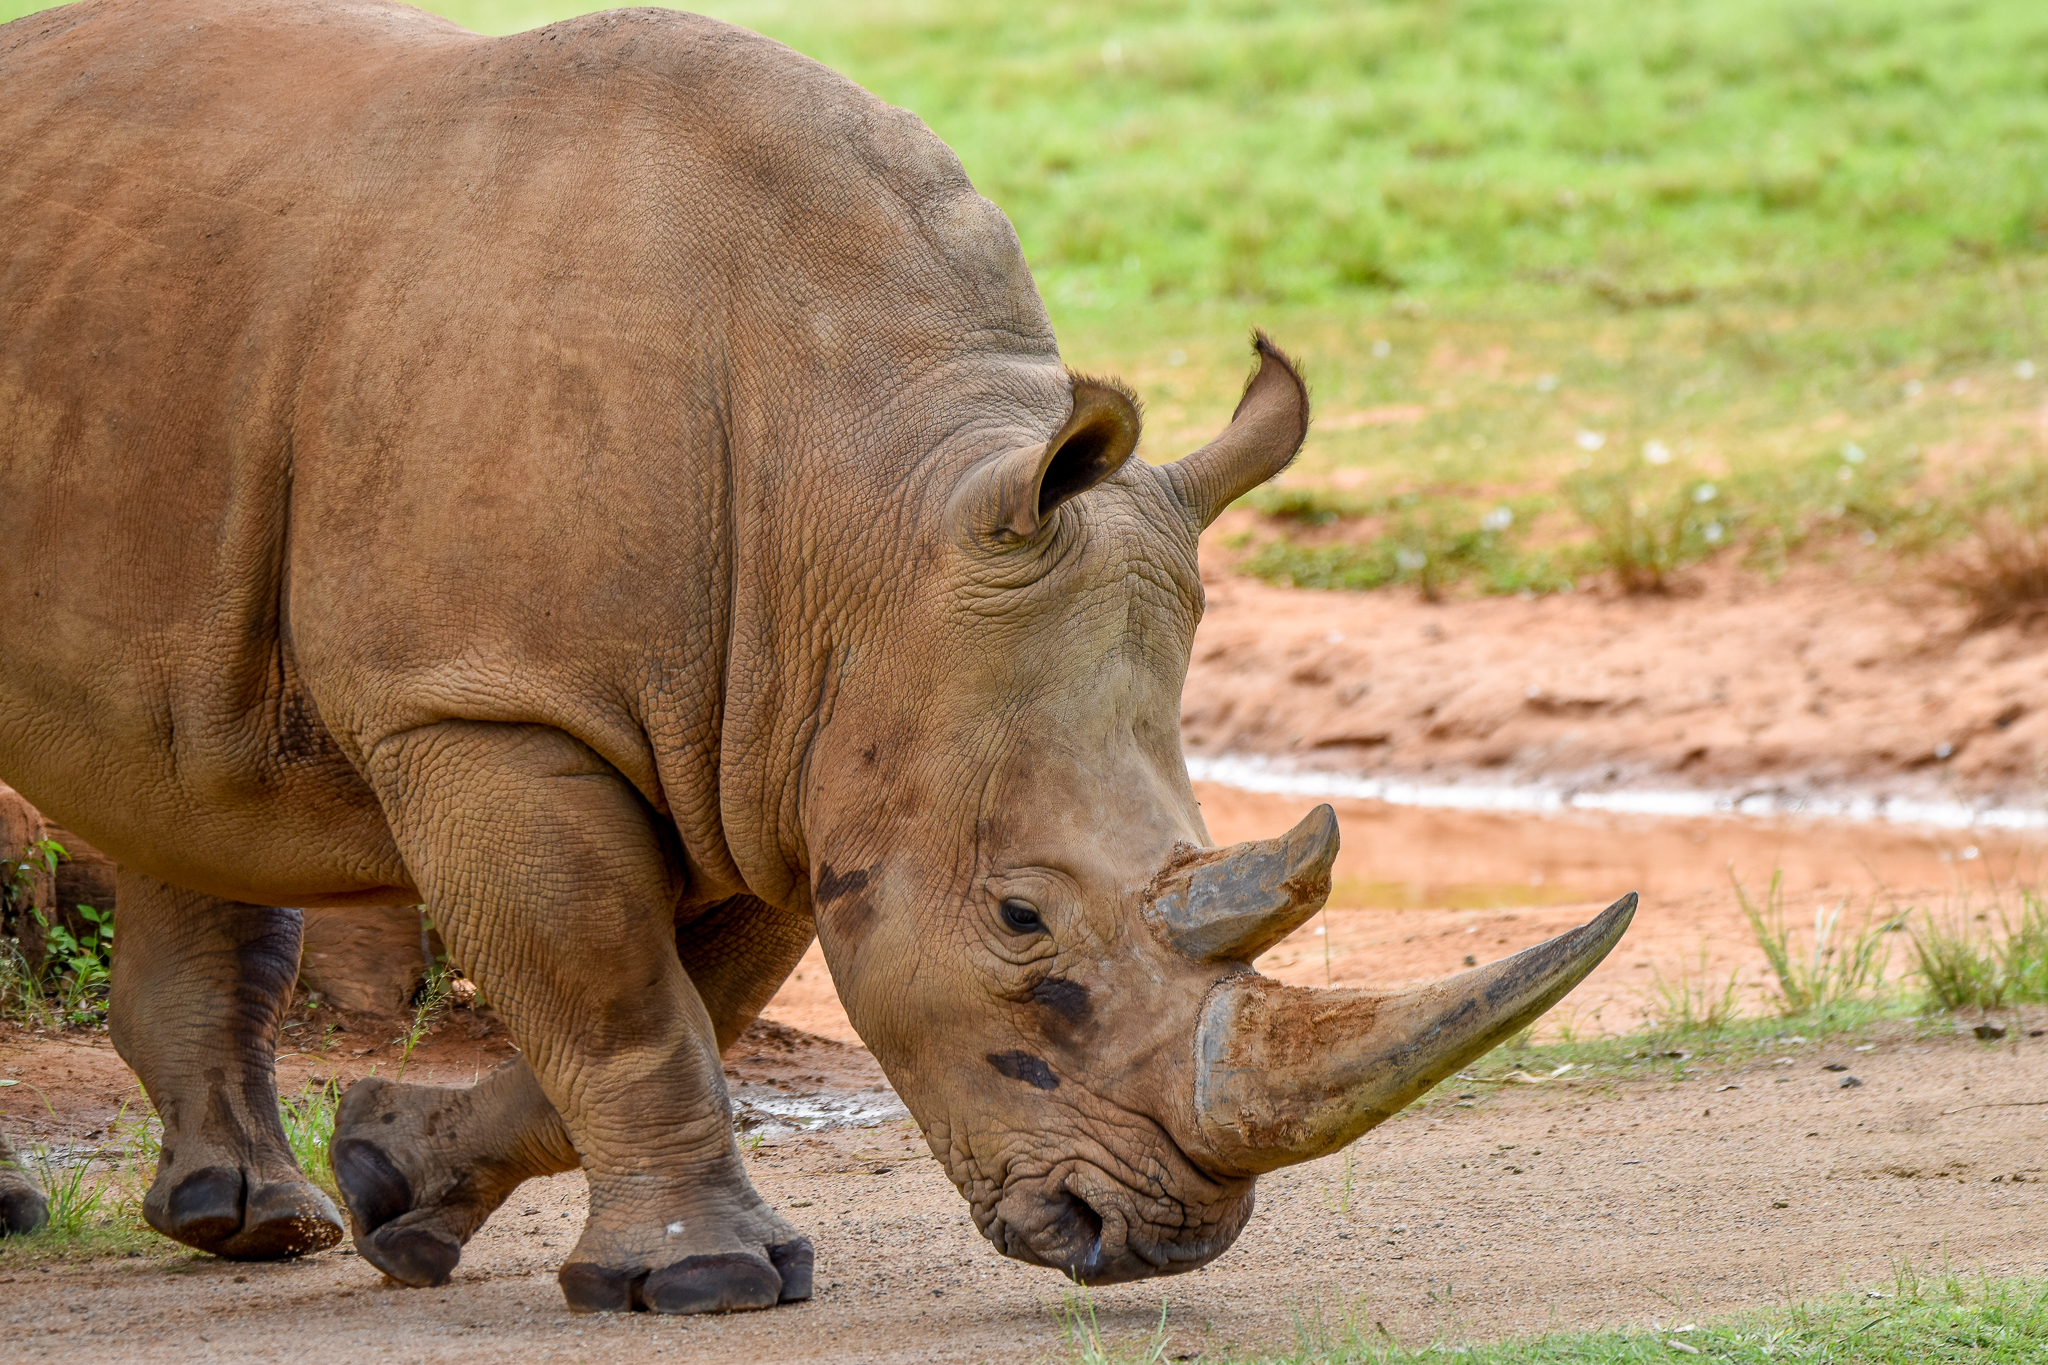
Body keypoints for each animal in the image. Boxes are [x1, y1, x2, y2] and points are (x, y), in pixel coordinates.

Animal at [0, 0, 1632, 1312]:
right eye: (1021, 919)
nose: (1151, 1242)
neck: (866, 494)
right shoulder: (484, 706)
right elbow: (614, 988)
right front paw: (705, 1284)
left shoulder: (762, 740)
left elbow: (680, 1004)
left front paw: (398, 1189)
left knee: (187, 776)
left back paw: (254, 1225)